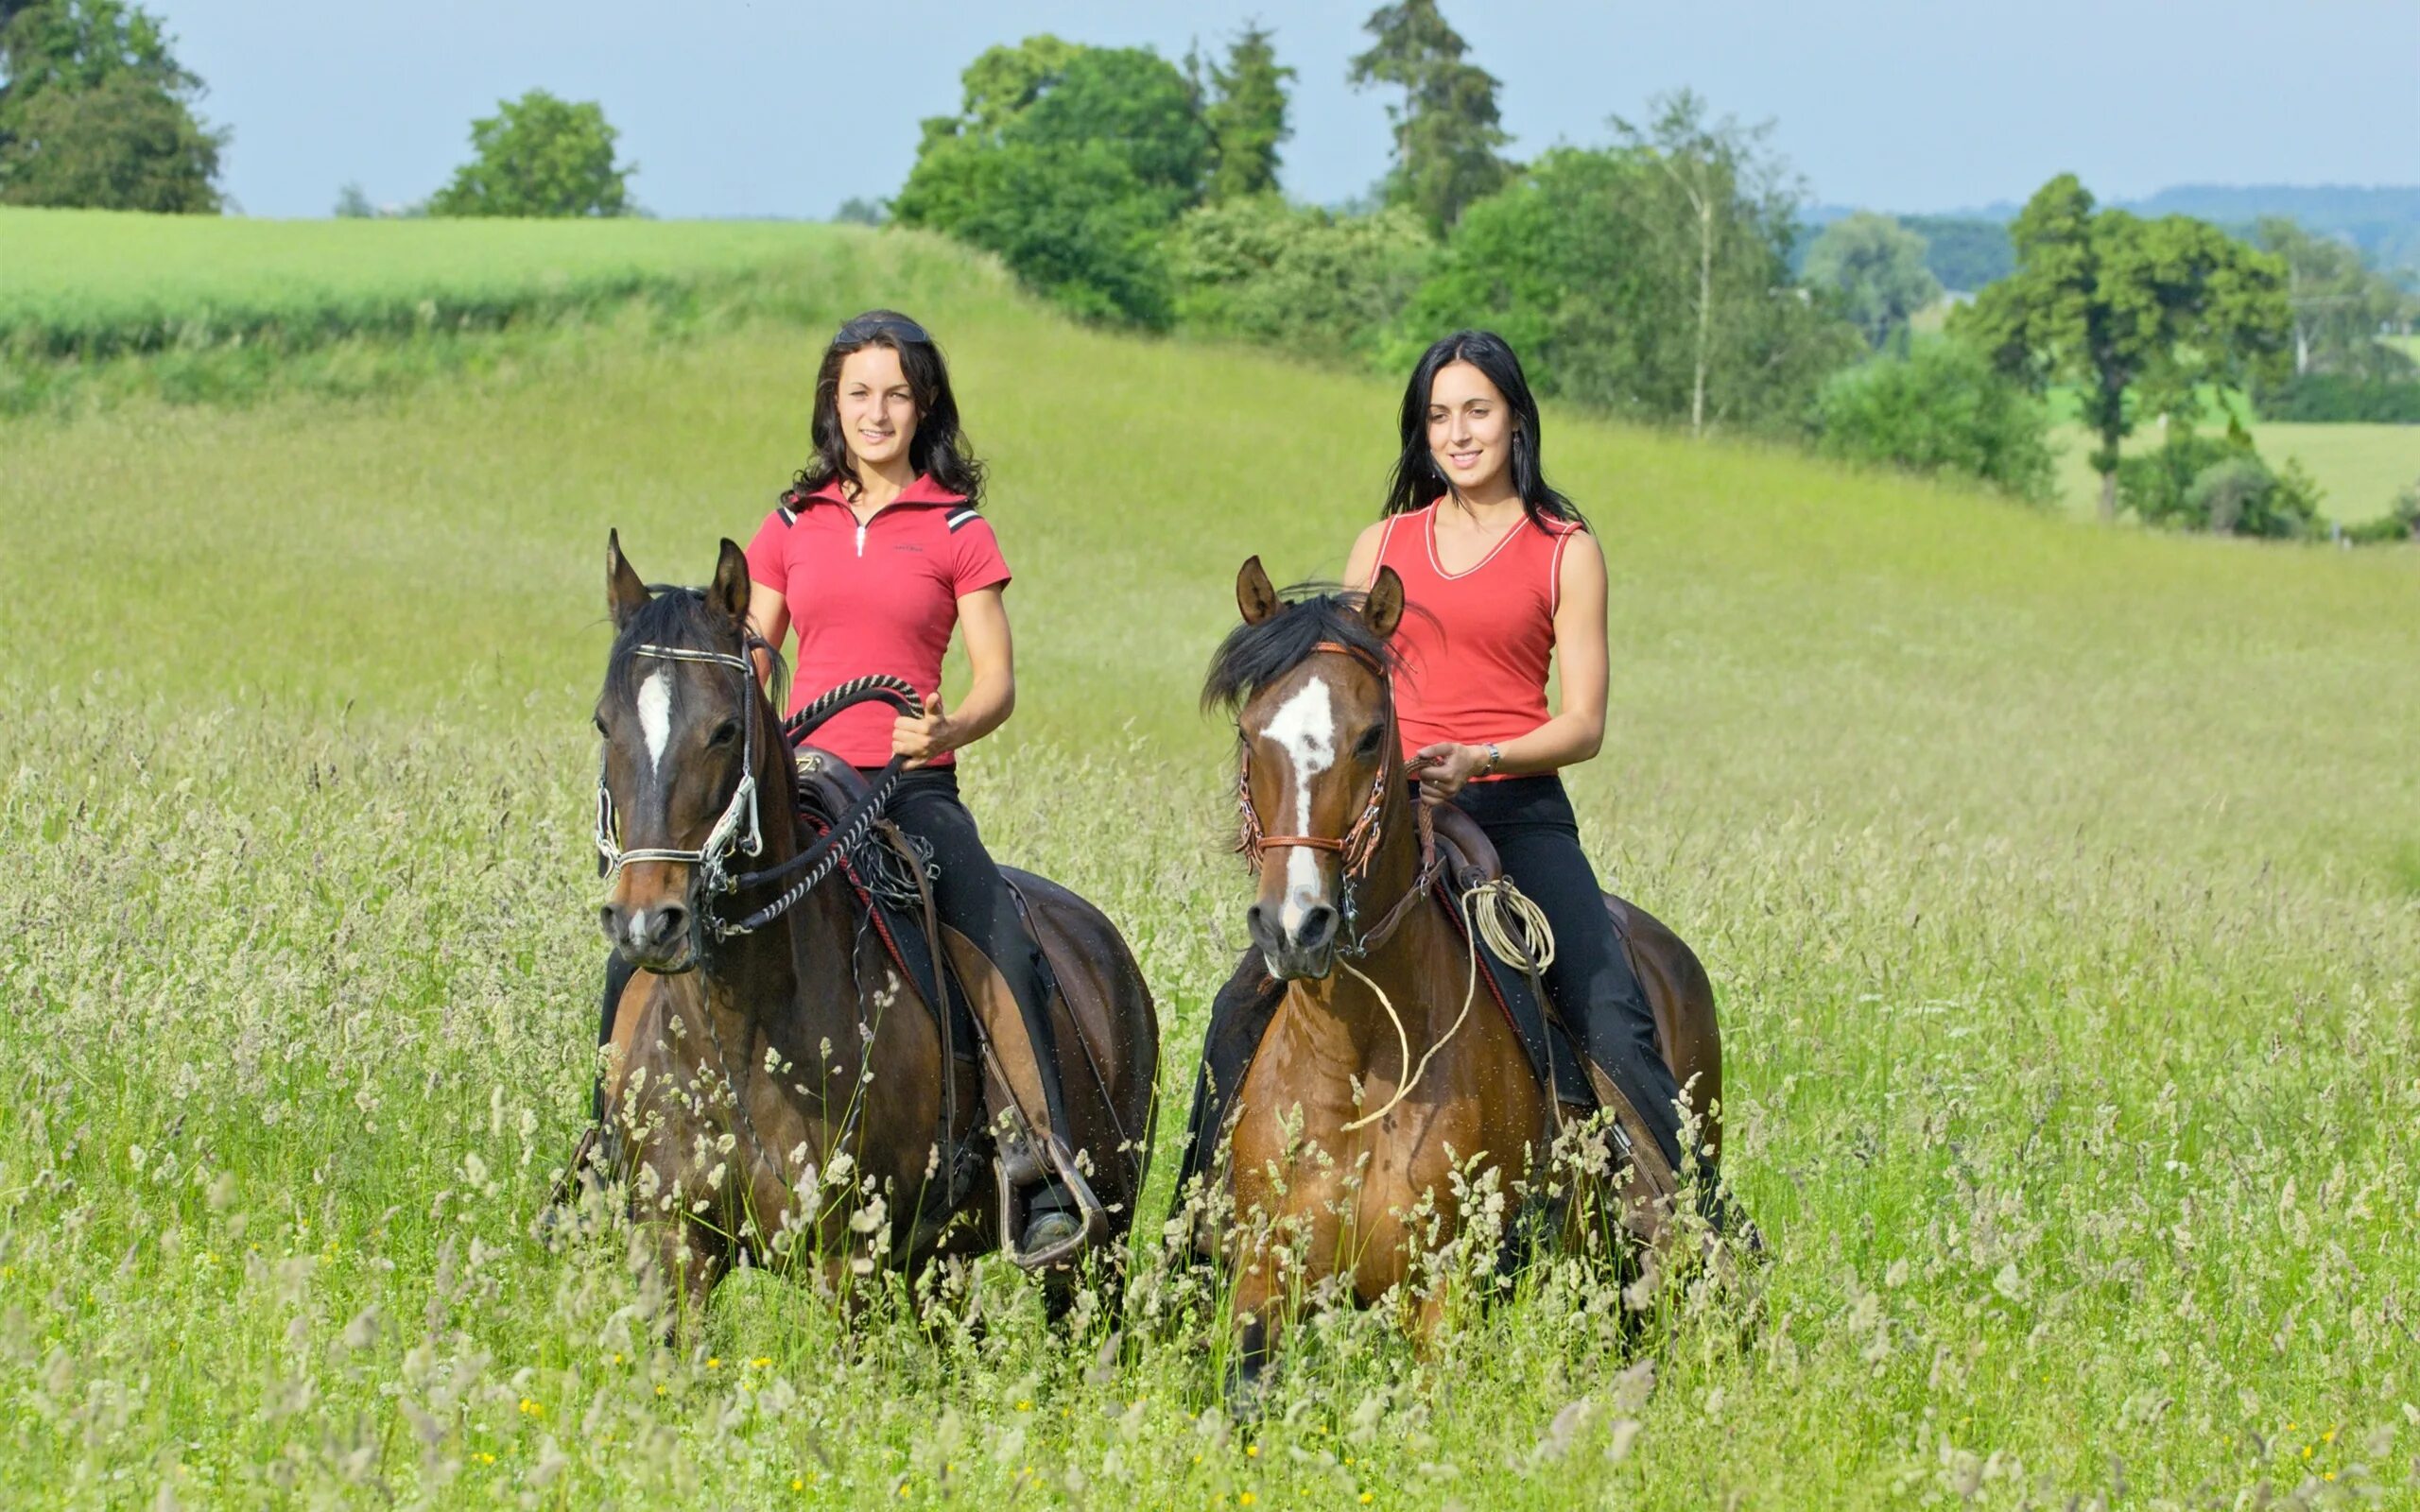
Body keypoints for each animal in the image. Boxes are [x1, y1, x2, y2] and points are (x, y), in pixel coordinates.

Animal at [580, 534, 1156, 1315]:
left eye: (724, 730)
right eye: (604, 724)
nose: (646, 923)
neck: (741, 1039)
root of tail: (1106, 945)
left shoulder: (847, 1263)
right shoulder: (676, 1249)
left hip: (1099, 1247)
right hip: (943, 1262)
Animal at [1190, 556, 1722, 1383]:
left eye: (1371, 736)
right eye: (1251, 734)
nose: (1295, 926)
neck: (1360, 1054)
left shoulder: (1445, 1293)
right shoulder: (1264, 1274)